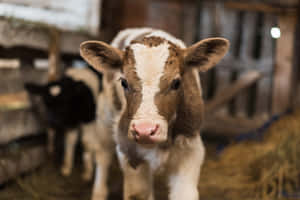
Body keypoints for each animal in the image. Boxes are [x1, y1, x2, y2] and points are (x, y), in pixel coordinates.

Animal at [80, 28, 230, 200]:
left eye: (176, 83)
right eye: (124, 82)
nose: (144, 130)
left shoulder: (191, 150)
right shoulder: (129, 151)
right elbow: (138, 192)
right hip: (105, 115)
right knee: (103, 154)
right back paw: (99, 192)